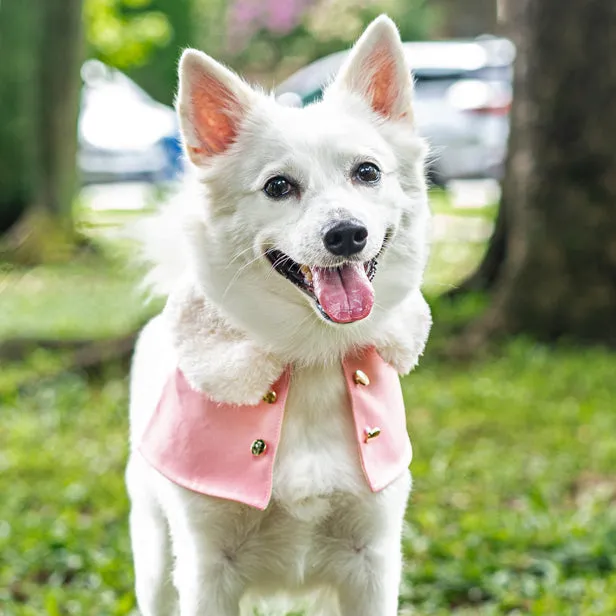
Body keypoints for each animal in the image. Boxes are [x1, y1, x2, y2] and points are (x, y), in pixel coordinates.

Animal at [127, 14, 430, 616]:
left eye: (367, 172)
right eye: (278, 186)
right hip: (153, 561)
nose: (346, 234)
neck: (310, 359)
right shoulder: (205, 568)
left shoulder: (372, 559)